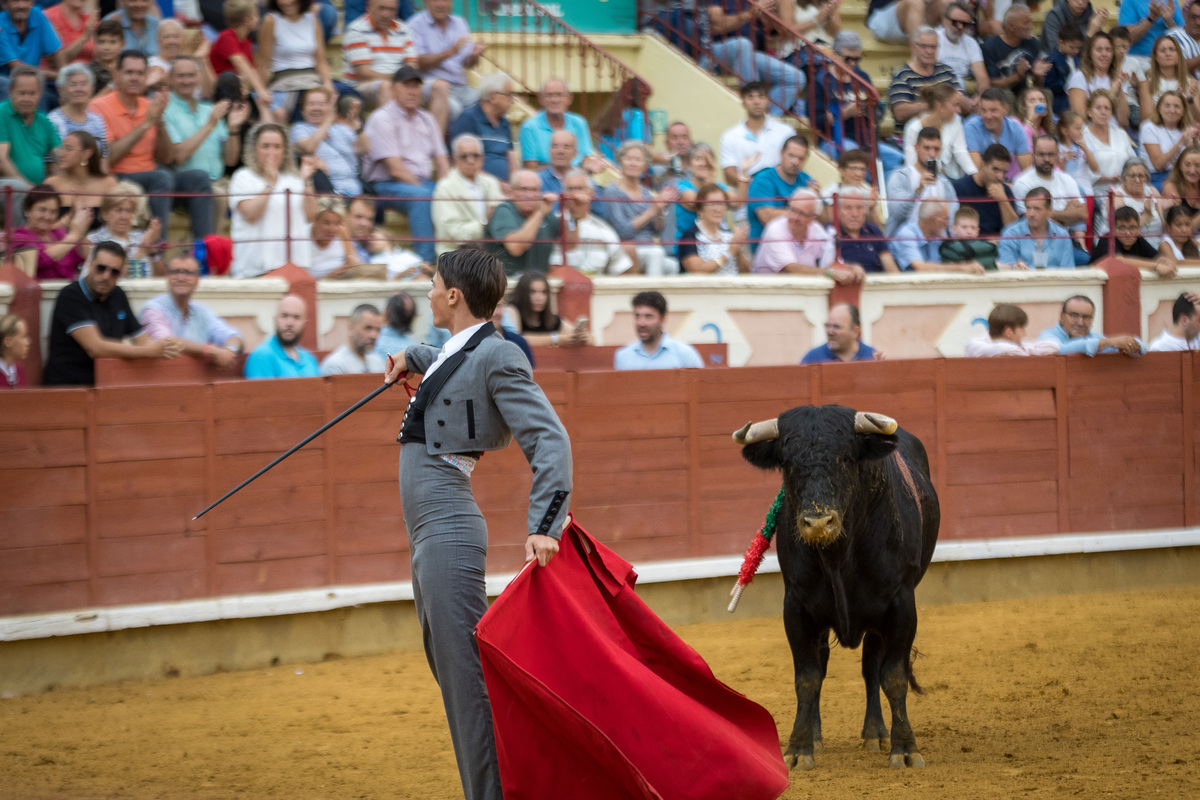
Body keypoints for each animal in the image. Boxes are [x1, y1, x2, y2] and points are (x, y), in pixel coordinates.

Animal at [734, 407, 940, 767]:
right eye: (787, 462)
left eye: (846, 458)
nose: (818, 523)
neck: (837, 555)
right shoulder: (796, 607)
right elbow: (807, 677)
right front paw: (799, 748)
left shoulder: (901, 604)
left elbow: (893, 676)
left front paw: (905, 749)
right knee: (824, 664)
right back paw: (816, 737)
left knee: (871, 667)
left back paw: (875, 733)